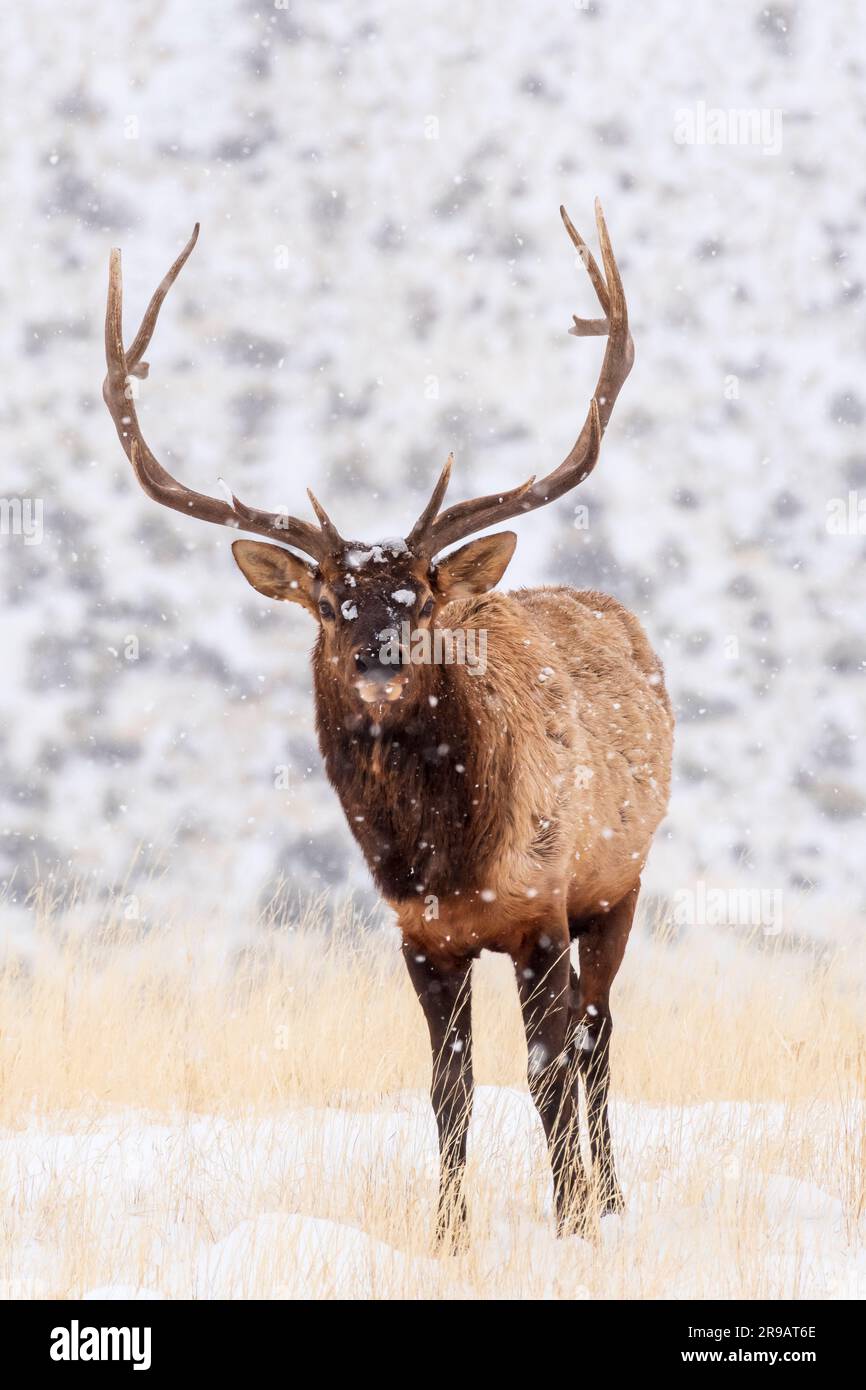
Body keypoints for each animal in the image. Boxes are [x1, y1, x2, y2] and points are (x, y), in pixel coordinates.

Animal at [103, 201, 673, 1242]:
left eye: (423, 598)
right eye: (333, 604)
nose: (378, 660)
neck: (448, 856)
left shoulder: (541, 907)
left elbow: (545, 1073)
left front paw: (571, 1223)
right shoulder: (419, 934)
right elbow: (449, 1088)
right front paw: (447, 1234)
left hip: (621, 880)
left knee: (598, 1036)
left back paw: (611, 1201)